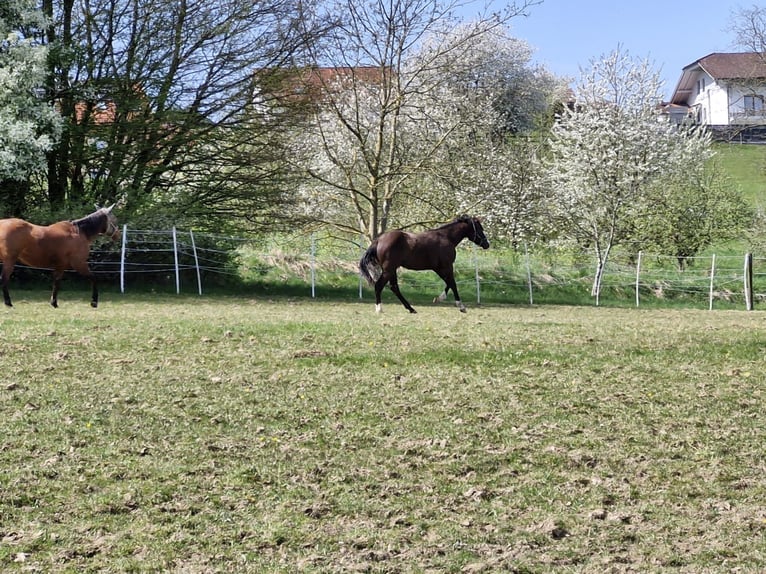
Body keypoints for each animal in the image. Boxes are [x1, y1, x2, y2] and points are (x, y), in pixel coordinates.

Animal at [358, 216, 488, 316]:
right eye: (480, 229)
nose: (487, 244)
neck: (446, 238)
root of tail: (378, 240)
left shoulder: (439, 268)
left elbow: (448, 283)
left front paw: (438, 298)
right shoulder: (446, 266)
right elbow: (453, 283)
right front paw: (461, 307)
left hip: (392, 270)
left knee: (394, 287)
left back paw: (411, 309)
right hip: (388, 270)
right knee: (379, 286)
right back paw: (379, 309)